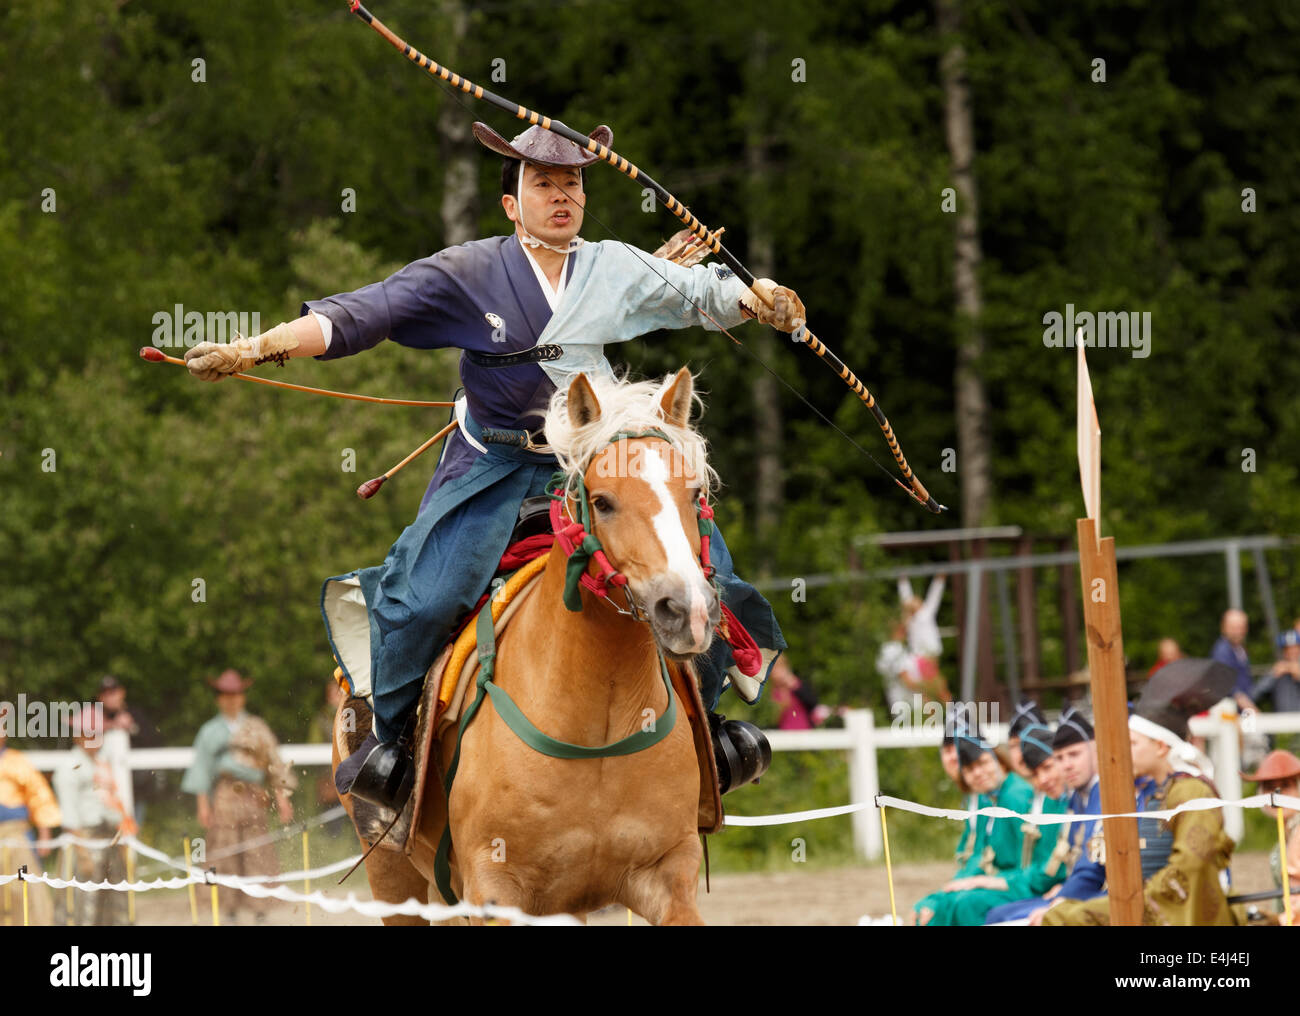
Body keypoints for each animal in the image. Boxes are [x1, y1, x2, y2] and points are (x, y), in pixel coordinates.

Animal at [332, 368, 722, 925]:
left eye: (693, 495)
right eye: (603, 501)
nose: (686, 609)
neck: (597, 724)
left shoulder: (668, 876)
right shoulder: (497, 890)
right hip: (393, 874)